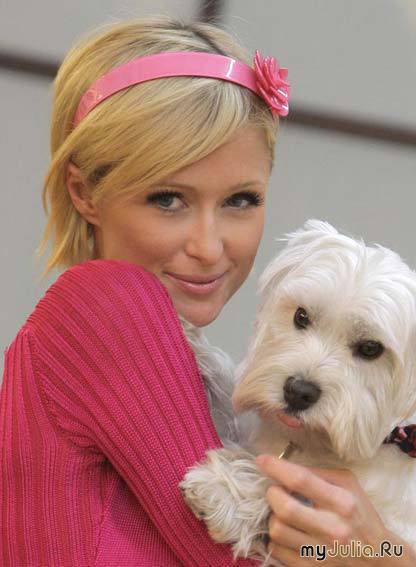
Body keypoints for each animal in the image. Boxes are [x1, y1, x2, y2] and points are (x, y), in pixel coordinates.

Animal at [179, 219, 416, 565]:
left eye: (371, 348)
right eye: (301, 316)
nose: (298, 392)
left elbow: (288, 482)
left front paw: (223, 491)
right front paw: (190, 337)